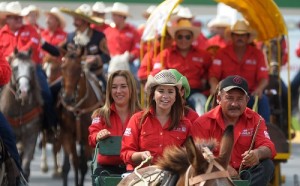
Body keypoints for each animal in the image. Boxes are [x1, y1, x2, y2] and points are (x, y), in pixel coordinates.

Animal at [59, 45, 105, 186]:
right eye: (62, 68)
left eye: (79, 68)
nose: (67, 98)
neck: (78, 108)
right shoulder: (67, 135)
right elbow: (70, 165)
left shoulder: (87, 138)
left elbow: (83, 166)